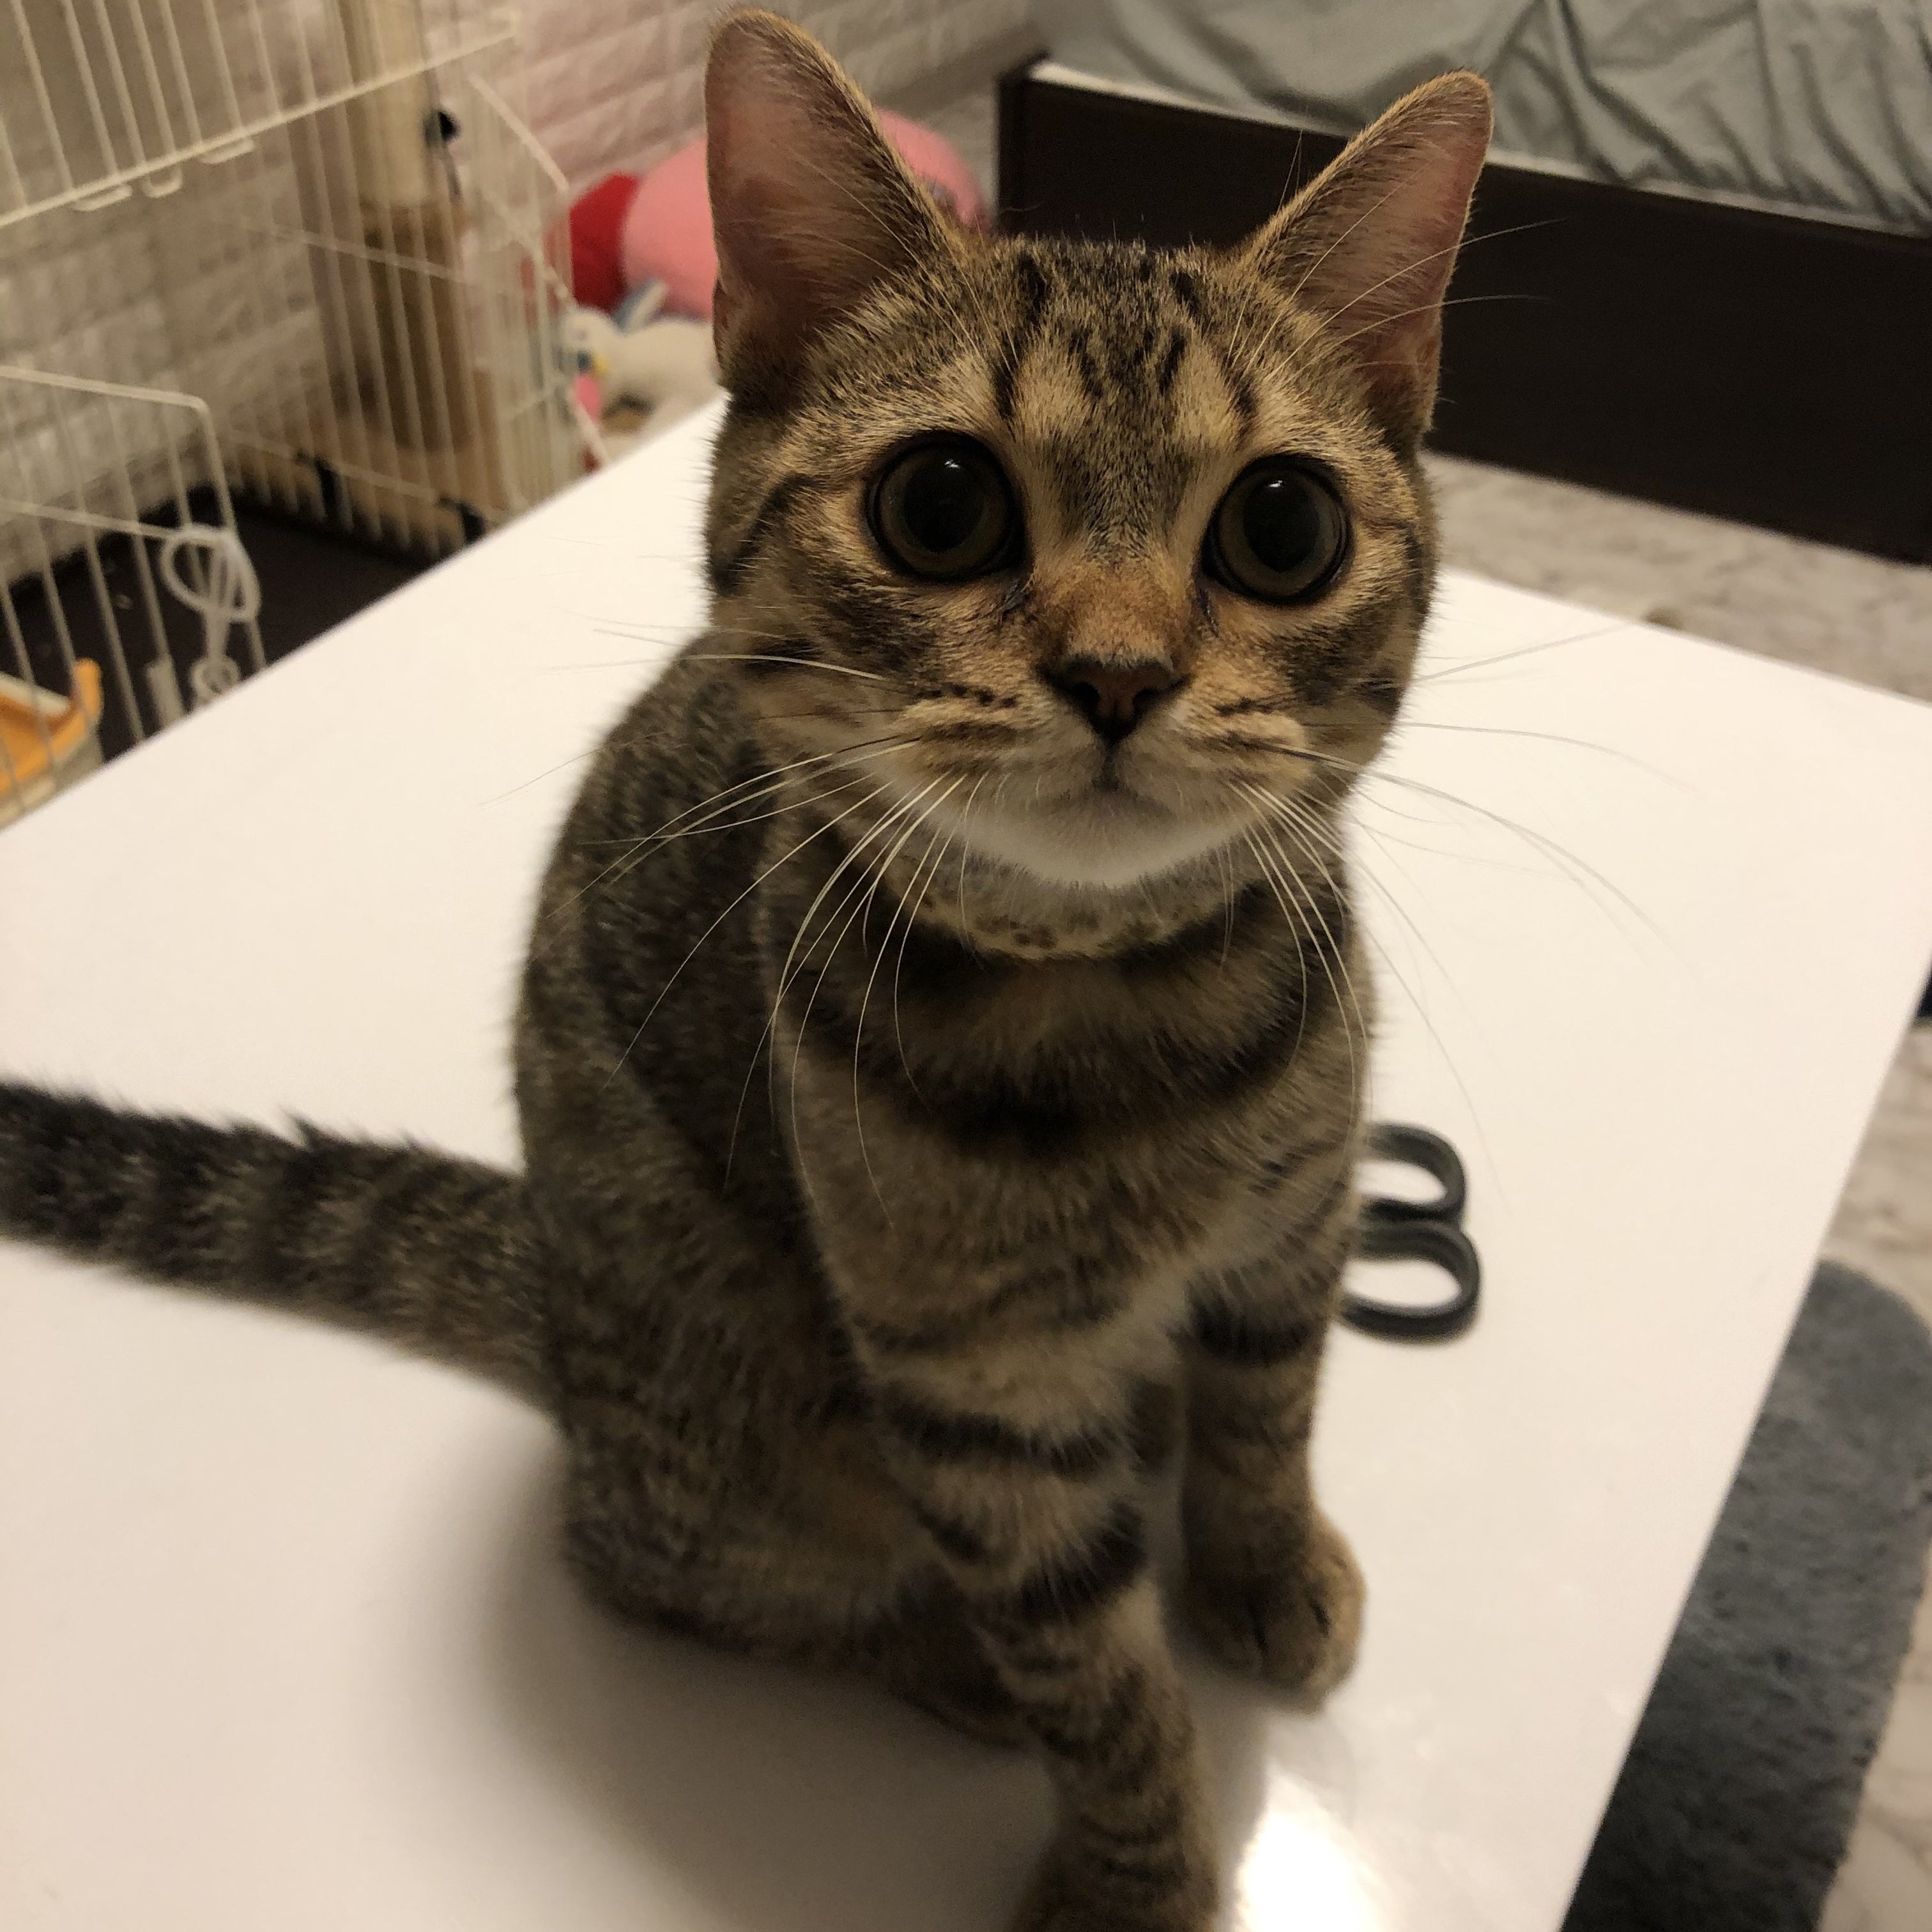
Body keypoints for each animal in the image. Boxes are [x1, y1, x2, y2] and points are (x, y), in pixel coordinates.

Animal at [0, 14, 1490, 1930]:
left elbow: (1271, 1415)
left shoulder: (1297, 1224)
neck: (1115, 1009)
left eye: (1283, 530)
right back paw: (935, 1649)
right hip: (742, 1411)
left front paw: (1261, 1566)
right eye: (941, 504)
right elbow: (1090, 1668)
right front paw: (1136, 1871)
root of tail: (558, 1313)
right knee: (664, 1570)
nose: (1118, 675)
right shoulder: (972, 1395)